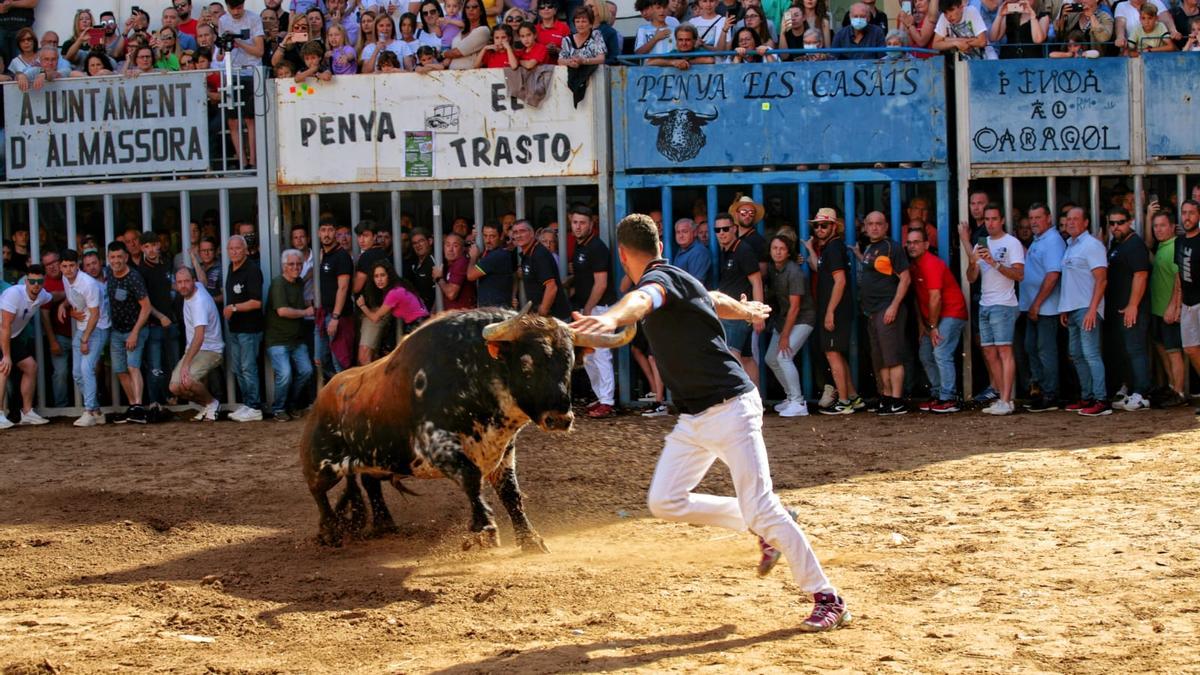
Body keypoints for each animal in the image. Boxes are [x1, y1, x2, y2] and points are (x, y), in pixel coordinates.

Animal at [302, 305, 638, 547]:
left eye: (569, 363)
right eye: (527, 362)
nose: (560, 418)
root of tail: (323, 395)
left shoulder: (503, 453)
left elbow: (512, 494)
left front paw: (529, 539)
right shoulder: (437, 446)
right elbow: (471, 477)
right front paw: (484, 528)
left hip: (376, 459)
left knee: (369, 483)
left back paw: (385, 523)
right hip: (322, 466)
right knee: (319, 494)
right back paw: (330, 532)